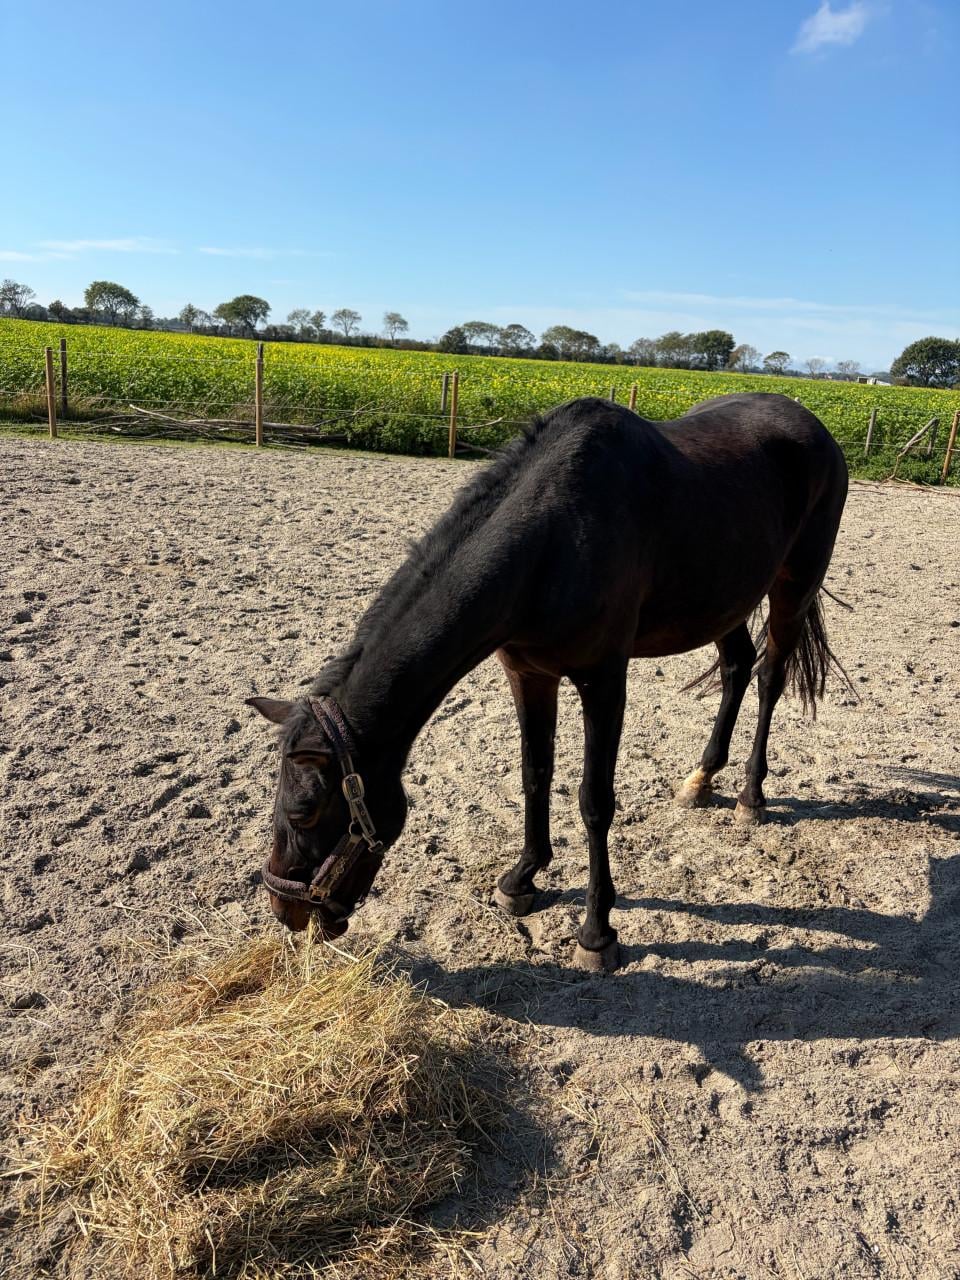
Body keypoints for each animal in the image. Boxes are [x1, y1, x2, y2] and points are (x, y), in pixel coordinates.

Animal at [248, 392, 849, 973]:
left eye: (303, 812)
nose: (284, 909)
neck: (554, 538)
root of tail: (814, 426)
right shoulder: (529, 674)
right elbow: (534, 774)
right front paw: (522, 880)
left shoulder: (603, 681)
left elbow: (594, 800)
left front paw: (597, 933)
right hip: (725, 603)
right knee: (736, 668)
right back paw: (700, 780)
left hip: (793, 586)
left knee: (769, 677)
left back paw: (751, 794)